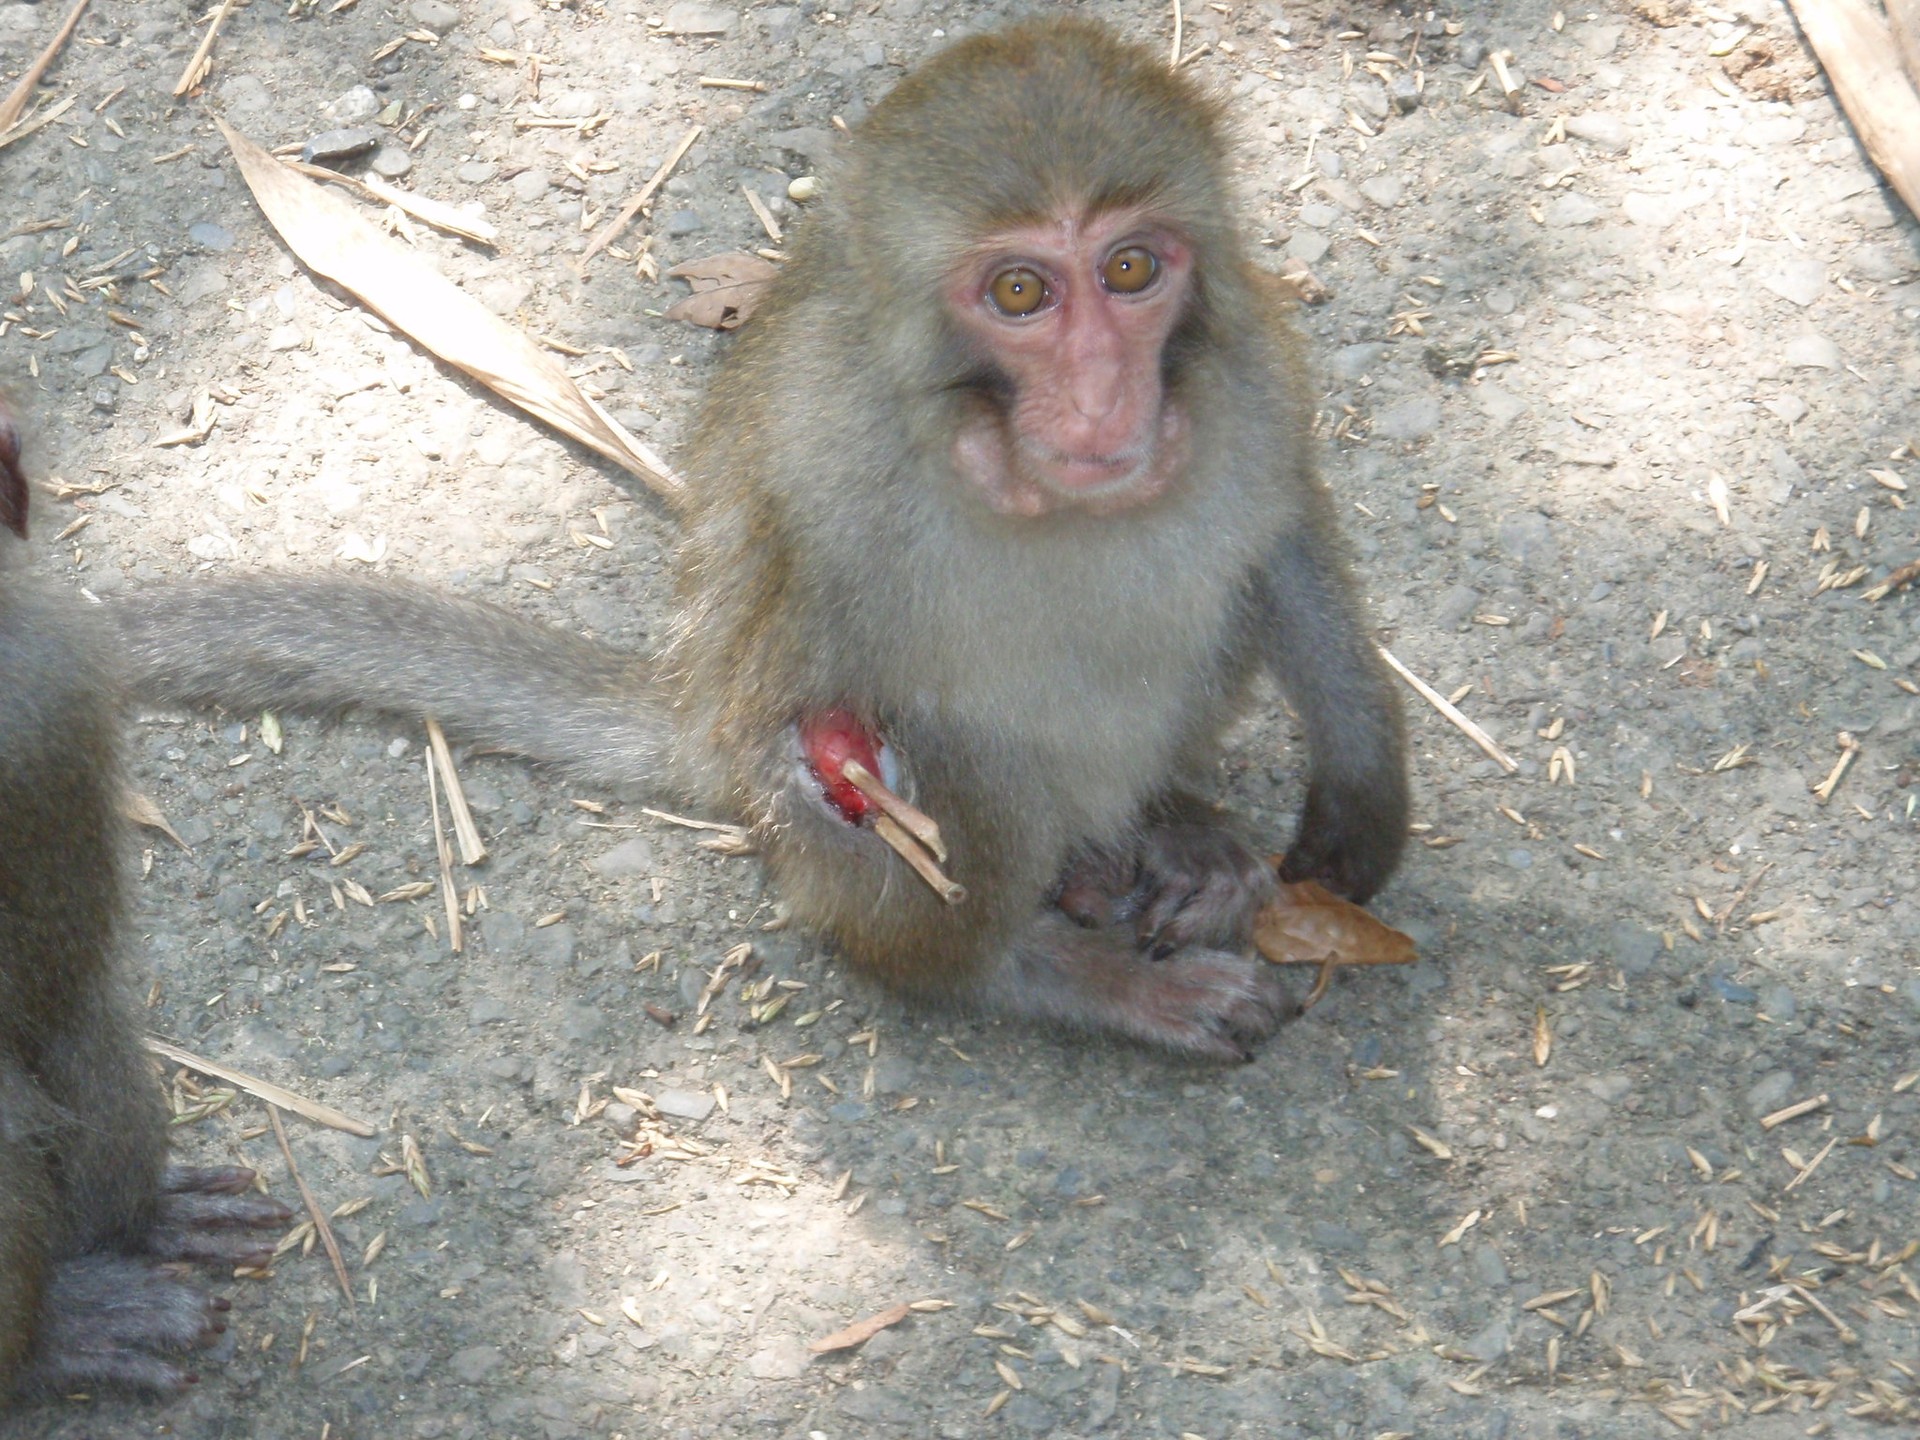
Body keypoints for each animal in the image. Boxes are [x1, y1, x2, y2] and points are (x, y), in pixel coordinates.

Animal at [120, 19, 1413, 1059]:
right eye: (1020, 294)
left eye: (1131, 267)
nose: (1103, 396)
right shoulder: (828, 449)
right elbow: (822, 688)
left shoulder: (1253, 368)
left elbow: (1282, 534)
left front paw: (1361, 797)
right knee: (957, 750)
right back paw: (1046, 965)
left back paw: (1162, 835)